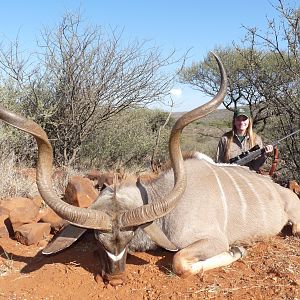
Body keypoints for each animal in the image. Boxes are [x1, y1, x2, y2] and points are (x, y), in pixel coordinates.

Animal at [0, 52, 300, 286]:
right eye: (98, 240)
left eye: (130, 236)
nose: (116, 279)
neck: (165, 201)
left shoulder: (212, 240)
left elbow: (179, 261)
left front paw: (238, 250)